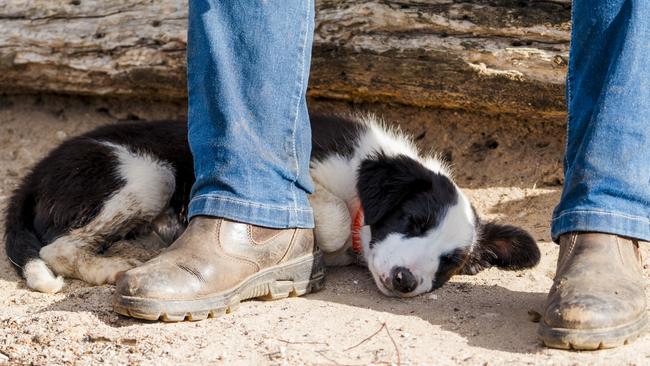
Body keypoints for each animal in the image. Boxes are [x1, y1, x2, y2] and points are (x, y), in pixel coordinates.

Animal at [3, 114, 536, 298]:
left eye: (452, 263)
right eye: (413, 219)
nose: (406, 281)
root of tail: (34, 173)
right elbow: (330, 215)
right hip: (149, 174)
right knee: (56, 250)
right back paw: (119, 261)